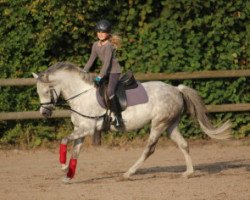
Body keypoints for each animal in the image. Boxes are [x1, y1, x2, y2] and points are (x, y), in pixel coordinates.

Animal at [32, 62, 231, 183]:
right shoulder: (81, 129)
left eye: (46, 90)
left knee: (149, 149)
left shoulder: (87, 129)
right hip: (170, 125)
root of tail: (176, 89)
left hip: (158, 124)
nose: (45, 112)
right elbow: (75, 151)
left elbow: (64, 140)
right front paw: (68, 175)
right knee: (183, 144)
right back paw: (188, 173)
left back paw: (128, 173)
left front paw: (63, 166)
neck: (82, 94)